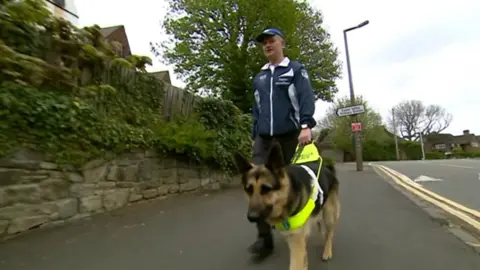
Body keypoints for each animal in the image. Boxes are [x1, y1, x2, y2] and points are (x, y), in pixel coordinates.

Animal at [233, 141, 340, 270]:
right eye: (249, 190)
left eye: (266, 189)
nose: (252, 217)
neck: (288, 195)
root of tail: (327, 168)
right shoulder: (294, 237)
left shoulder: (296, 239)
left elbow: (297, 263)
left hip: (329, 214)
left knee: (330, 232)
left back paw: (327, 251)